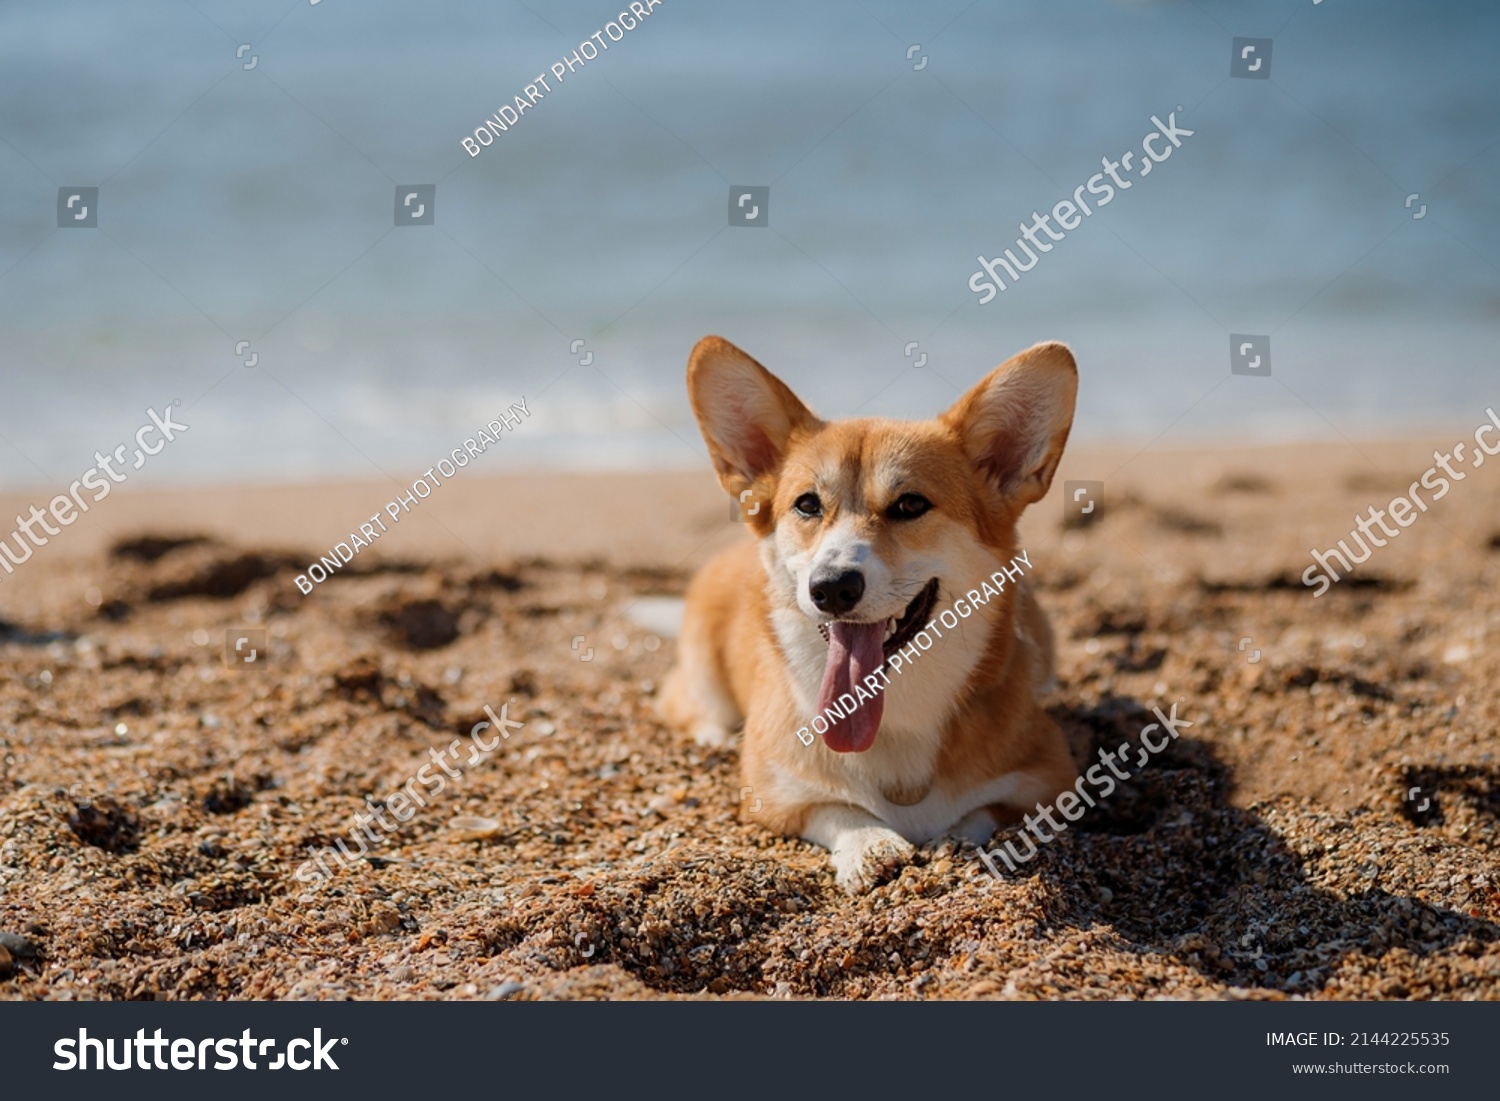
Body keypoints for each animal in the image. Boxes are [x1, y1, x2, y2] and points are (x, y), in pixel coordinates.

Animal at [663, 339, 1086, 900]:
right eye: (806, 504)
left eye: (910, 504)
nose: (831, 587)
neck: (893, 716)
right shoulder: (775, 798)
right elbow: (838, 809)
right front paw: (870, 845)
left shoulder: (1047, 781)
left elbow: (981, 813)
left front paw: (953, 842)